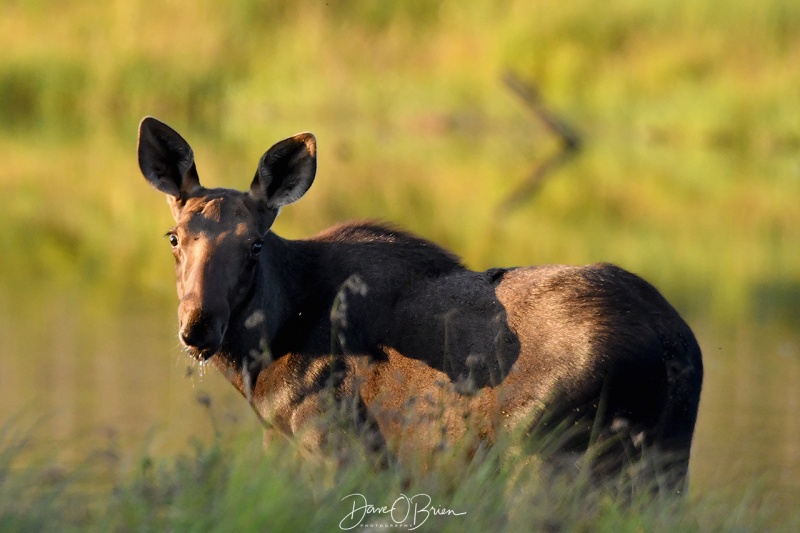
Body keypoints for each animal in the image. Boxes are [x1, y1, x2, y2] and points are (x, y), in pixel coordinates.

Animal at [141, 116, 704, 490]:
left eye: (255, 244)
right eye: (174, 237)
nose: (198, 327)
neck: (261, 369)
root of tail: (677, 346)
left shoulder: (332, 447)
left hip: (547, 458)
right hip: (661, 471)